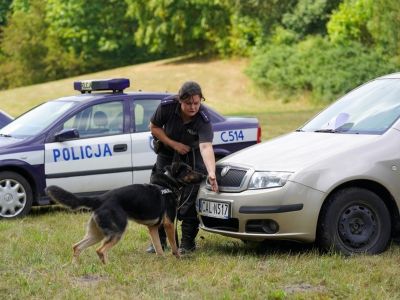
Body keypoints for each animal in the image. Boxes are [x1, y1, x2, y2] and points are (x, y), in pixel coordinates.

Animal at [45, 162, 205, 262]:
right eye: (189, 170)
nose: (204, 176)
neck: (168, 184)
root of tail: (100, 199)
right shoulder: (169, 224)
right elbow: (174, 246)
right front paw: (178, 258)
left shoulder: (153, 228)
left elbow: (159, 247)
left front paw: (162, 260)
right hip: (116, 232)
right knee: (100, 250)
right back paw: (108, 268)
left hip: (97, 233)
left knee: (77, 246)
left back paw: (75, 266)